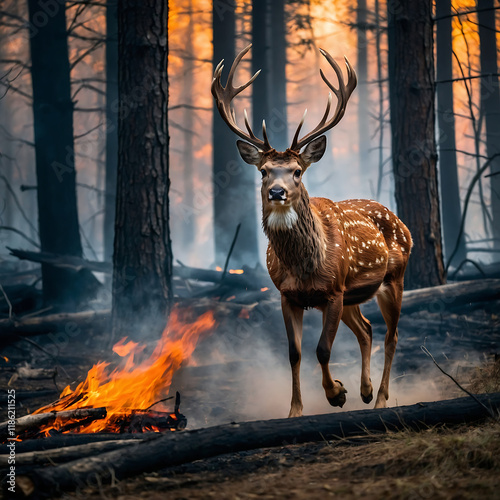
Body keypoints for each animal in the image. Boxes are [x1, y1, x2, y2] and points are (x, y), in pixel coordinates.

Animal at [211, 44, 410, 418]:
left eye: (297, 171)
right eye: (264, 171)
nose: (277, 192)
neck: (304, 266)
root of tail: (401, 221)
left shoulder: (332, 291)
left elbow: (322, 349)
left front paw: (336, 394)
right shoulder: (288, 295)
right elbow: (295, 353)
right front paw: (295, 410)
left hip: (393, 278)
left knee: (391, 336)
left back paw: (379, 399)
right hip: (353, 295)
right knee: (367, 330)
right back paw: (365, 391)